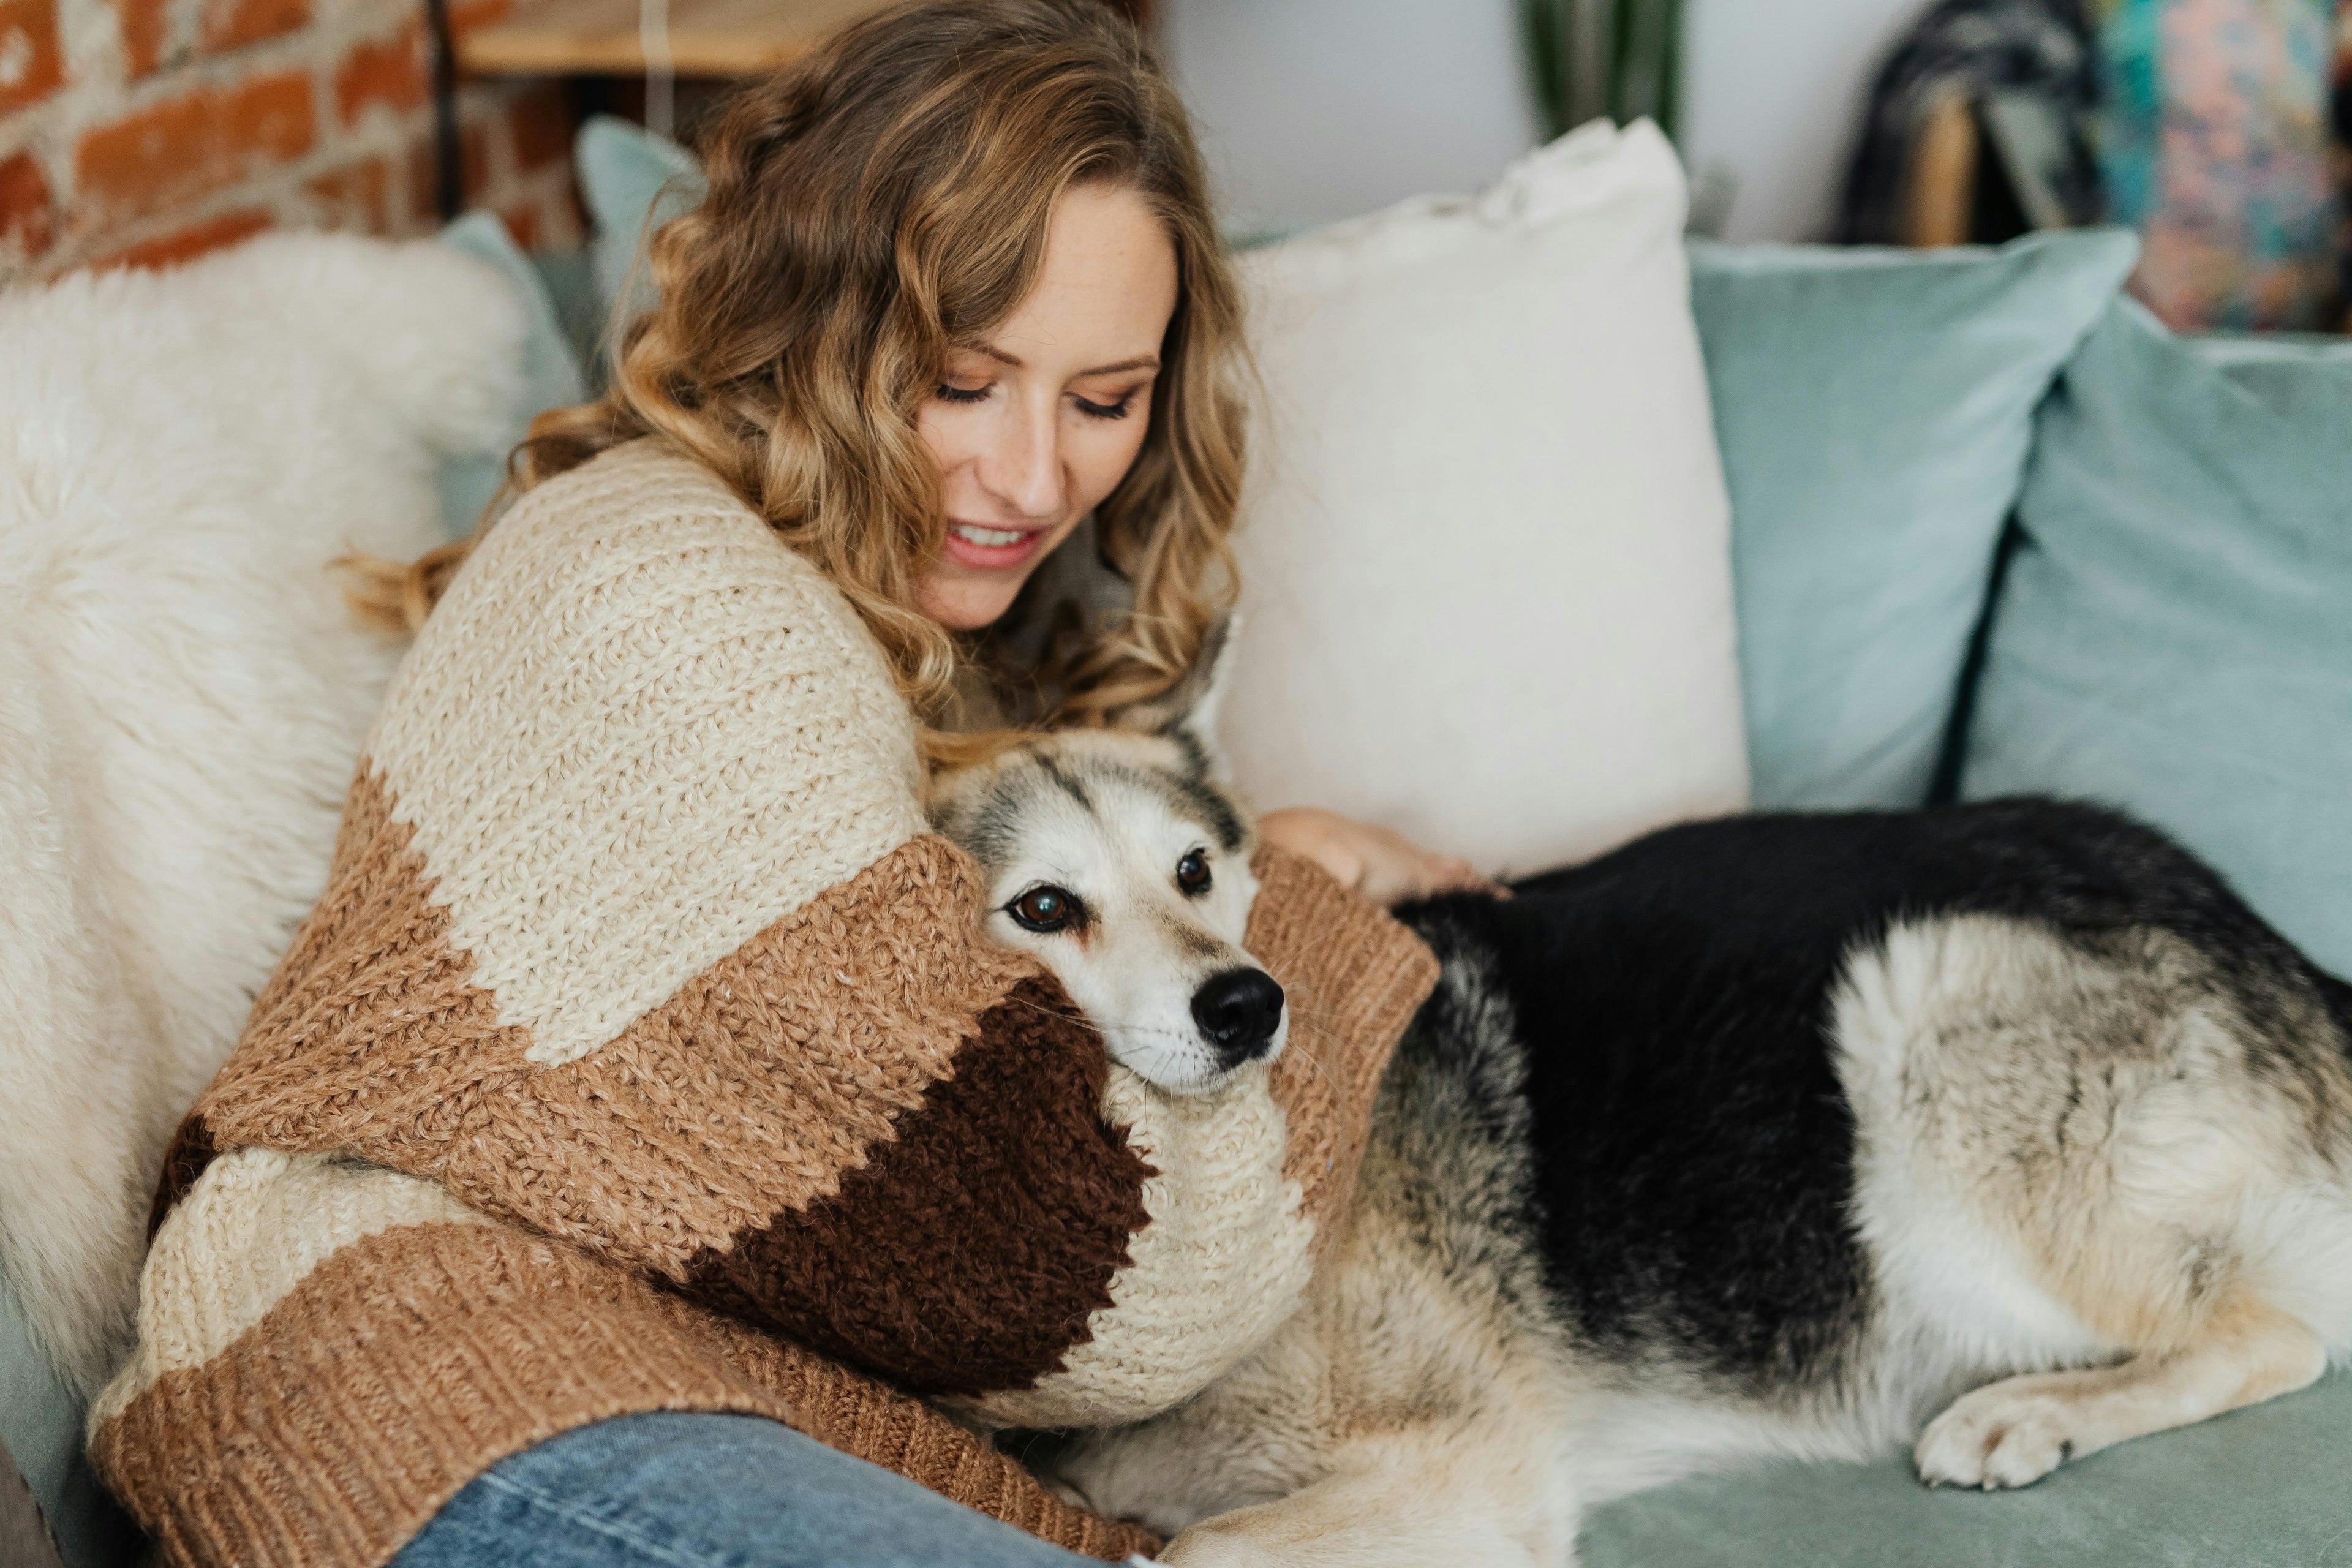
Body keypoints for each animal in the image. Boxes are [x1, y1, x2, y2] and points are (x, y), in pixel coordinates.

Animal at [928, 652, 2352, 1567]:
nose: (1248, 1005)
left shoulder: (1463, 1469)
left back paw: (2034, 1412)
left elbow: (1192, 1551)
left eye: (1194, 871)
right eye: (1043, 907)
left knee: (2275, 1336)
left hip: (1920, 1002)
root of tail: (2282, 951)